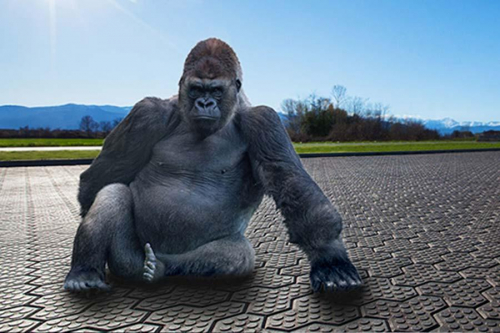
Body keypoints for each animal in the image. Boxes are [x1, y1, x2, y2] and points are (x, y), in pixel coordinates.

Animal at [64, 39, 362, 292]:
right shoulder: (146, 114)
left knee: (236, 254)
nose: (204, 103)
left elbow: (290, 182)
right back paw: (86, 272)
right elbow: (99, 177)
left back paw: (158, 268)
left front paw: (330, 259)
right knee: (112, 192)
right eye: (196, 88)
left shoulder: (264, 121)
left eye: (216, 90)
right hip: (130, 254)